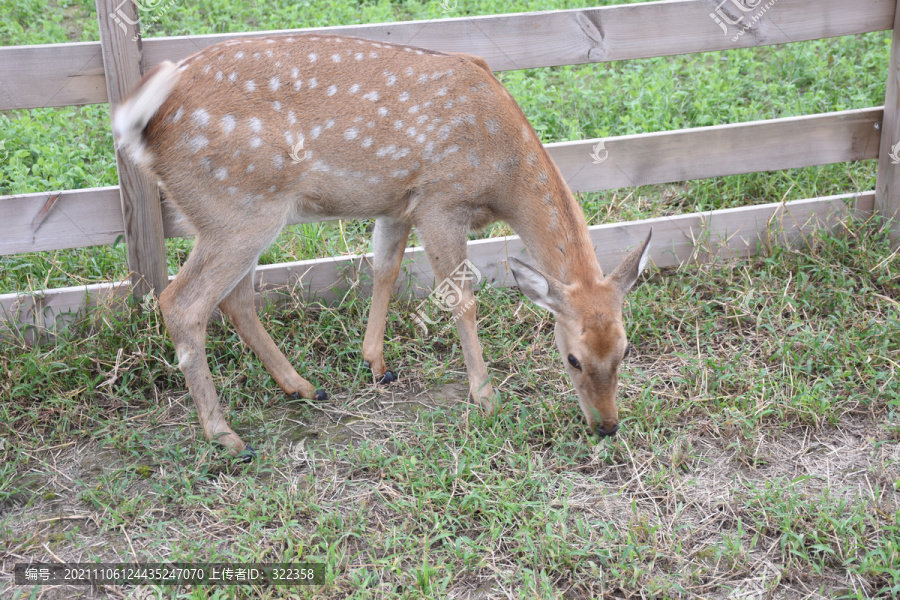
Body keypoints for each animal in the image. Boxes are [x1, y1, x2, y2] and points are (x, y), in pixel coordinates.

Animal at [112, 35, 652, 458]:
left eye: (625, 350)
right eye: (572, 358)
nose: (607, 425)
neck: (504, 174)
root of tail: (144, 123)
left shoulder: (397, 203)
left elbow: (385, 268)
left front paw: (376, 363)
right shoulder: (441, 200)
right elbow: (461, 298)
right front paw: (485, 395)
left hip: (235, 215)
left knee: (236, 298)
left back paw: (302, 387)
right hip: (237, 206)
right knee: (182, 302)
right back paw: (226, 436)